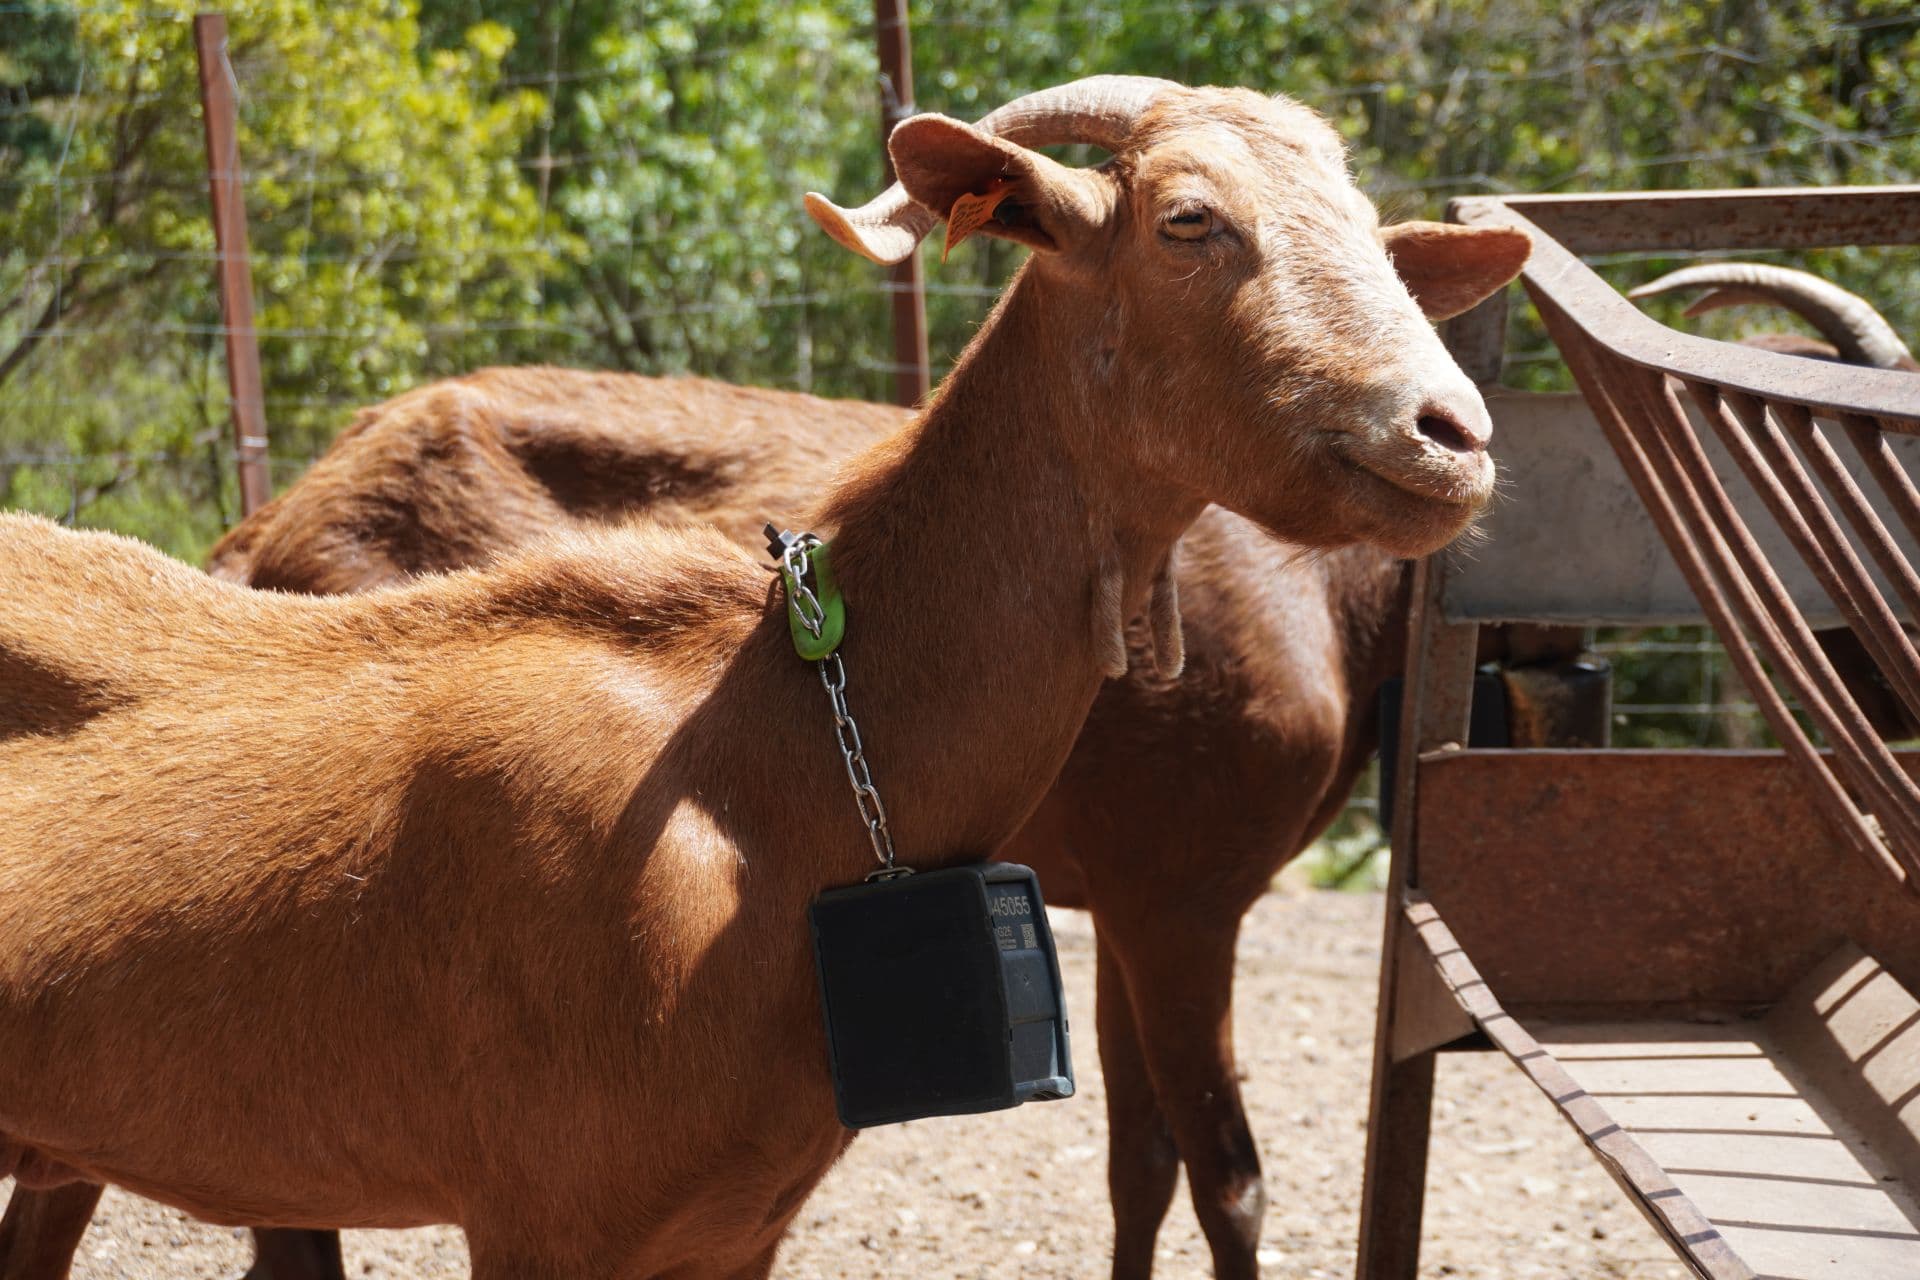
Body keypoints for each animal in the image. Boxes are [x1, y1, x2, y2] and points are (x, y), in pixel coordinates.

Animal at [0, 77, 1528, 1280]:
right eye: (1189, 219)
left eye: (1379, 240)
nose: (1448, 433)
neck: (759, 765)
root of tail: (265, 523)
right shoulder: (553, 1205)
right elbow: (1224, 1174)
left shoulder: (736, 1219)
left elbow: (1142, 1160)